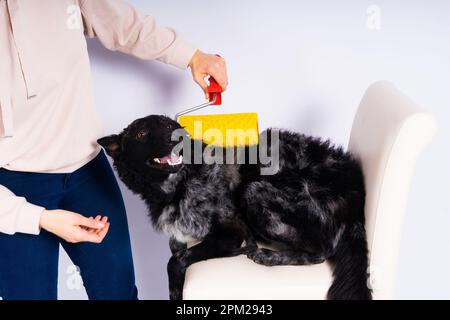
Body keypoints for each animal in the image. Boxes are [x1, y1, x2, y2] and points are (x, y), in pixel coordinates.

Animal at [98, 115, 372, 300]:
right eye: (141, 134)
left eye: (168, 126)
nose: (177, 137)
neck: (181, 181)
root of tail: (355, 189)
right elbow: (176, 250)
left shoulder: (232, 233)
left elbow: (175, 261)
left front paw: (175, 289)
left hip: (255, 193)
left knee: (321, 250)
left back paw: (269, 256)